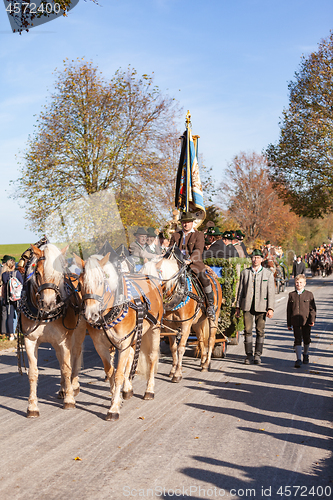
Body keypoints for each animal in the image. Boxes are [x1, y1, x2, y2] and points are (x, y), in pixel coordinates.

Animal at [18, 244, 84, 416]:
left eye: (60, 273)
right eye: (37, 272)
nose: (48, 303)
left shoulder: (63, 340)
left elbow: (66, 368)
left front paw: (69, 400)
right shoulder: (30, 340)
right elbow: (33, 372)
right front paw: (32, 406)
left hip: (78, 333)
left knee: (75, 356)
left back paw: (74, 386)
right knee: (61, 360)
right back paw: (63, 388)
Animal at [74, 252, 164, 420]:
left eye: (101, 281)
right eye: (80, 284)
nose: (90, 314)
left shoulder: (123, 344)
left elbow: (118, 375)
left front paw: (114, 407)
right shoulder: (101, 346)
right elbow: (110, 372)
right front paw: (115, 397)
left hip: (154, 329)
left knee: (152, 358)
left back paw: (149, 390)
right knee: (132, 357)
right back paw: (127, 389)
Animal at [140, 250, 220, 382]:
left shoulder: (185, 325)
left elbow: (181, 348)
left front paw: (177, 374)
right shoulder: (169, 326)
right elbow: (173, 348)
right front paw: (173, 371)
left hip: (214, 318)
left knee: (211, 339)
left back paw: (207, 363)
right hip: (197, 322)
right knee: (201, 338)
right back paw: (203, 361)